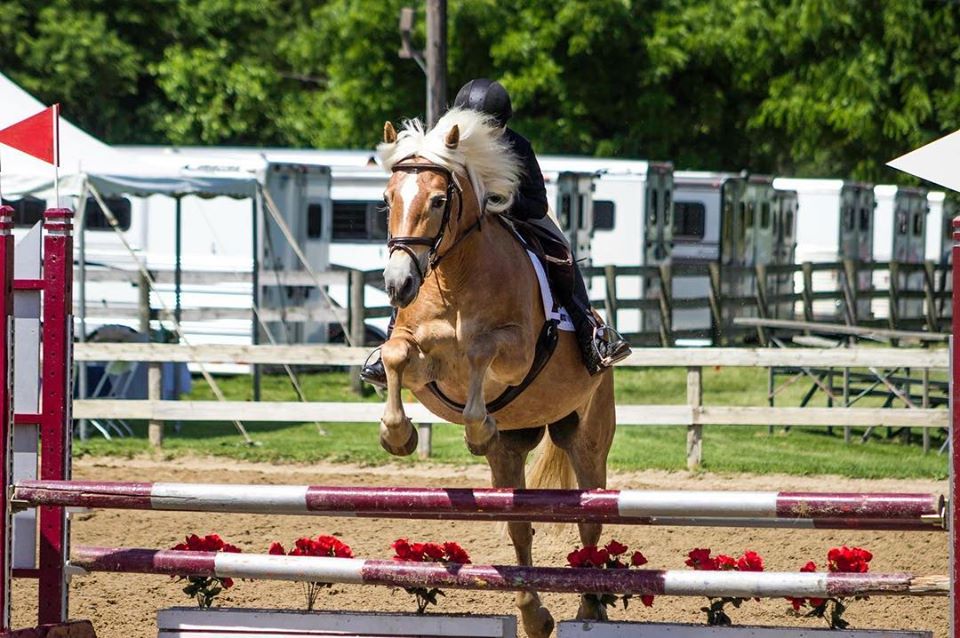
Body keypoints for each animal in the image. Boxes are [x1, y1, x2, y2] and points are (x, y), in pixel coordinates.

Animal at [376, 107, 616, 636]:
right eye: (387, 199)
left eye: (438, 200)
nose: (399, 283)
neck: (452, 276)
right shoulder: (419, 357)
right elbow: (396, 356)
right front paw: (398, 435)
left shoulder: (517, 351)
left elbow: (480, 350)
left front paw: (476, 426)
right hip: (512, 452)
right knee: (519, 524)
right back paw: (534, 614)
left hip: (586, 435)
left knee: (590, 519)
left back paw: (590, 607)